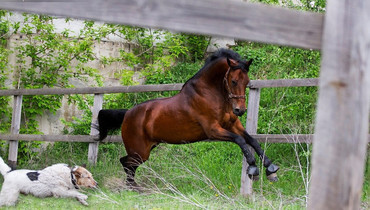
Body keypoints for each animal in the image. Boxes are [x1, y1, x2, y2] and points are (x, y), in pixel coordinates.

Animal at [97, 48, 278, 189]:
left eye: (247, 82)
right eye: (233, 81)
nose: (240, 110)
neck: (210, 94)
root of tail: (128, 113)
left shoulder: (233, 125)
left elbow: (252, 140)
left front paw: (270, 170)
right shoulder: (213, 130)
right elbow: (240, 140)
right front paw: (253, 168)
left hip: (147, 148)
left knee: (126, 163)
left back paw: (132, 186)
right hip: (140, 150)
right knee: (126, 163)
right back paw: (132, 187)